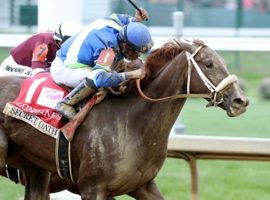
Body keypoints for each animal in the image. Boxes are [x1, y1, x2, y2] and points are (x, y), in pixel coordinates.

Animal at [0, 38, 249, 199]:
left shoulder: (143, 185)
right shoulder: (91, 187)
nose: (240, 100)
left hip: (36, 170)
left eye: (222, 61)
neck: (132, 123)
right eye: (209, 64)